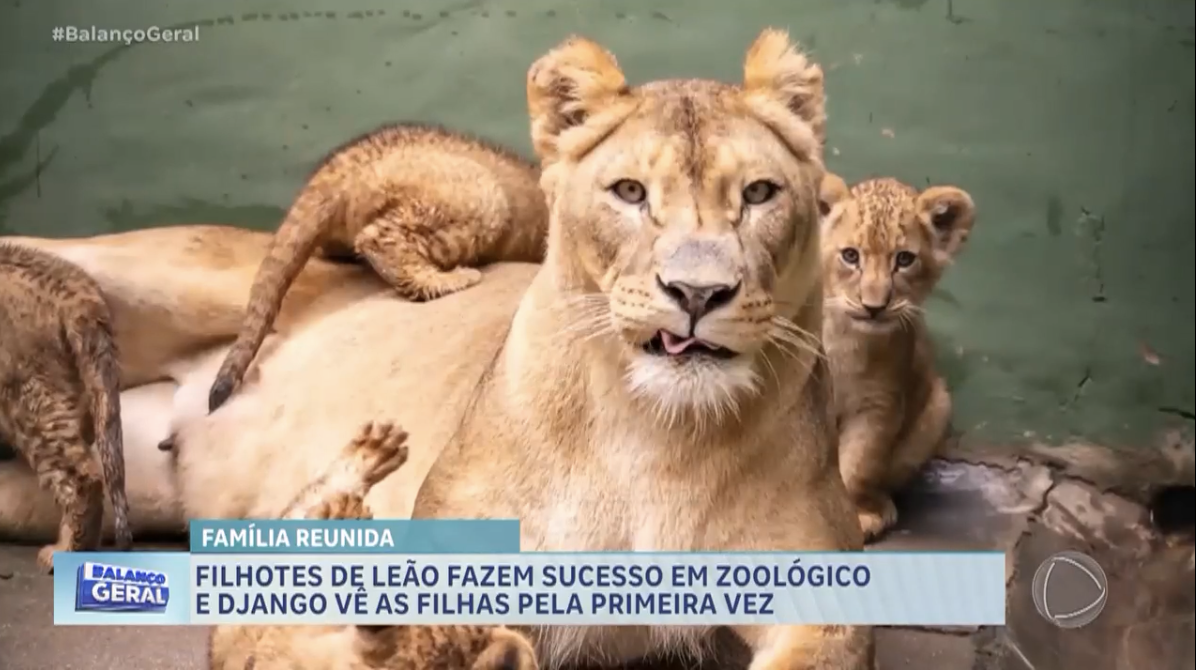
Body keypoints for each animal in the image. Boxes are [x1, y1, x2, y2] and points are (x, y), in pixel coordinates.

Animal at [817, 174, 977, 541]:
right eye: (850, 256)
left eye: (904, 260)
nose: (873, 307)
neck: (844, 337)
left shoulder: (878, 405)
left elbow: (857, 466)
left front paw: (857, 517)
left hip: (938, 407)